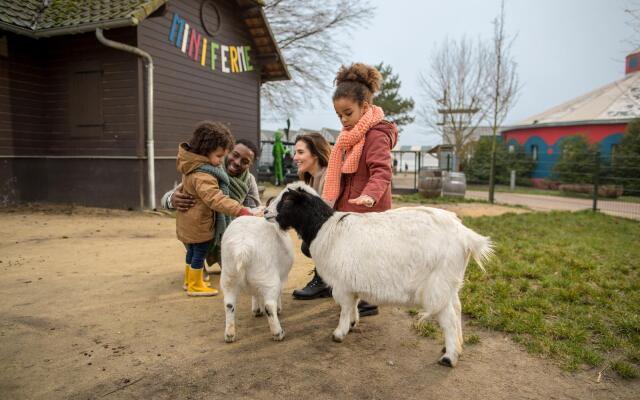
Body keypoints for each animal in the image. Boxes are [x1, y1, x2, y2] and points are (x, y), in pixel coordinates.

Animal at [218, 216, 292, 344]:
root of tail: (242, 247)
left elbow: (255, 293)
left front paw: (256, 310)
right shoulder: (281, 278)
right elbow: (278, 295)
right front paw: (277, 309)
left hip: (228, 276)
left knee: (229, 304)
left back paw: (229, 335)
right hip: (267, 276)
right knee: (269, 305)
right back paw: (278, 333)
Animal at [264, 183, 496, 368]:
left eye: (287, 200)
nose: (266, 212)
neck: (327, 229)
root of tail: (466, 236)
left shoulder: (342, 284)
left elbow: (344, 308)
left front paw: (339, 333)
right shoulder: (351, 282)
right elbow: (353, 304)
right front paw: (353, 323)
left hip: (437, 284)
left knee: (448, 317)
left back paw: (449, 357)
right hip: (450, 282)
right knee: (457, 309)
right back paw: (456, 345)